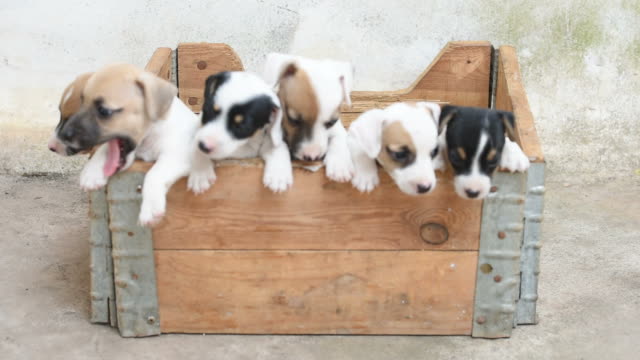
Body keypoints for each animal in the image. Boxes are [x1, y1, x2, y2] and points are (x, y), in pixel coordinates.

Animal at [55, 62, 200, 225]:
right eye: (82, 103)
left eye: (104, 111)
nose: (62, 136)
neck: (149, 136)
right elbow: (104, 149)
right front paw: (91, 172)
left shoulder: (176, 156)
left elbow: (154, 174)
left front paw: (150, 208)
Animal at [264, 52, 358, 183]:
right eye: (293, 120)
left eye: (332, 122)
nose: (312, 157)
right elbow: (278, 145)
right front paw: (279, 173)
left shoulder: (338, 128)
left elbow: (339, 140)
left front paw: (340, 166)